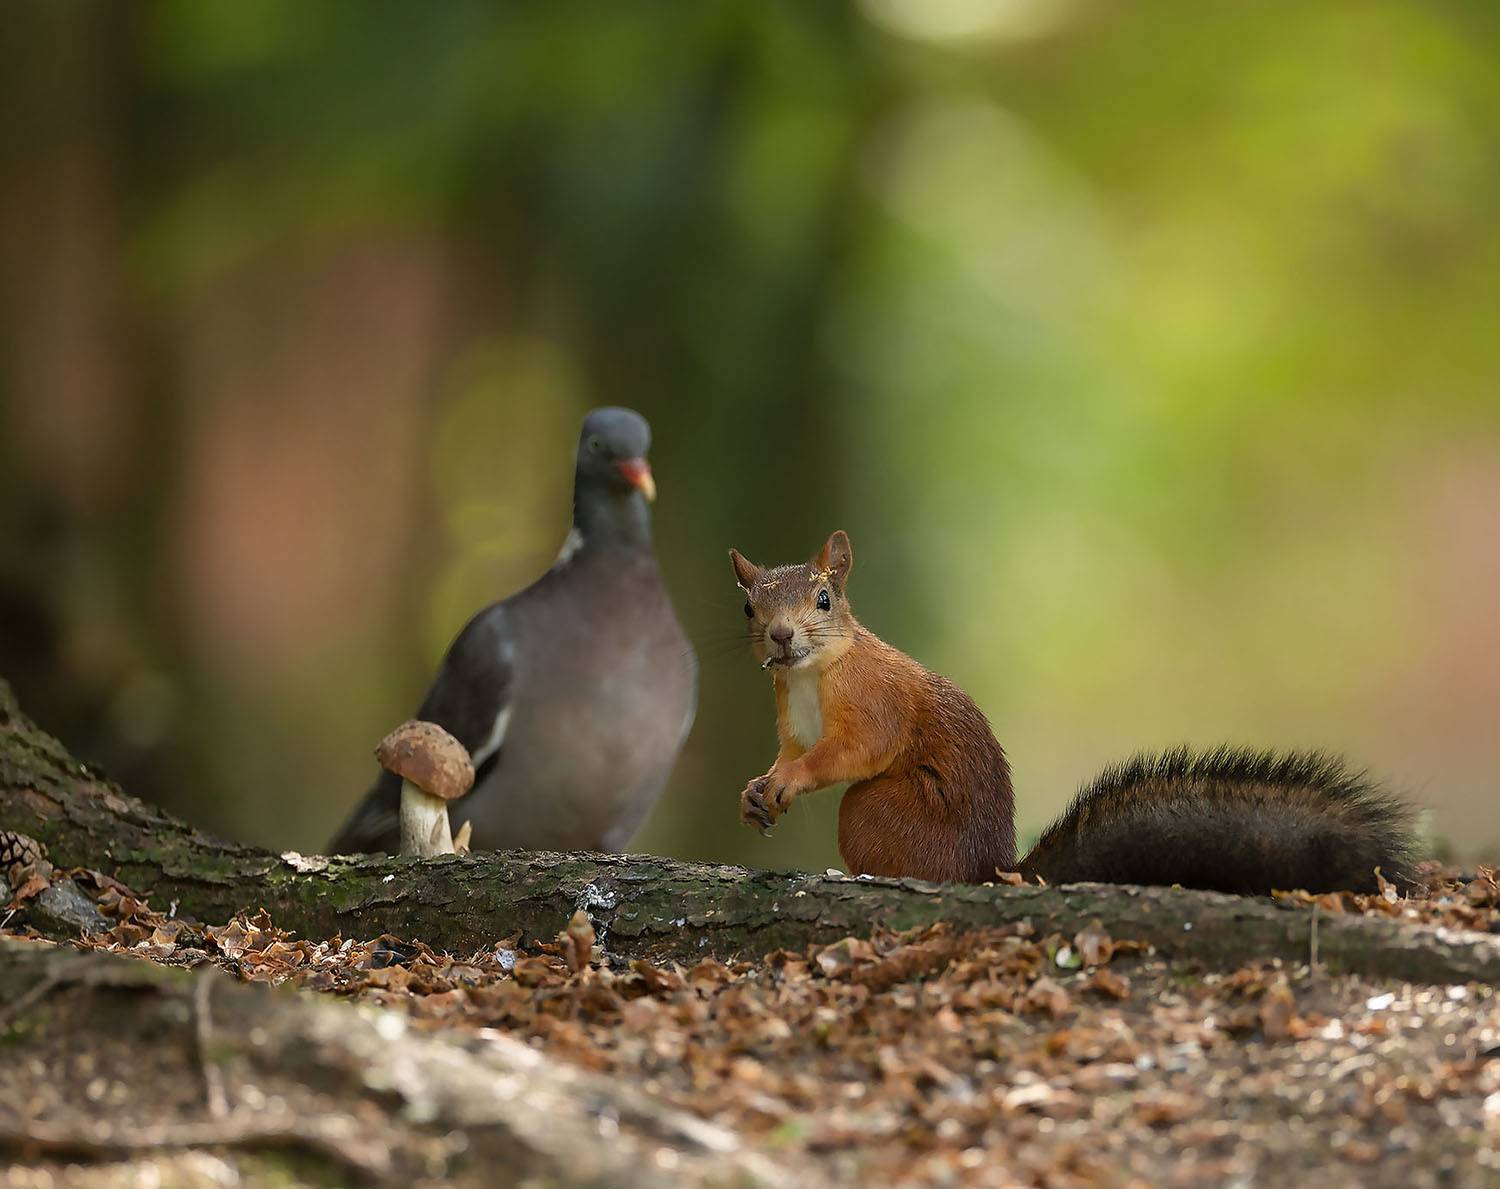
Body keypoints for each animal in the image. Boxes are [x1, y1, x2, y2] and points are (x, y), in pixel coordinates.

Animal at [729, 530, 1415, 894]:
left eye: (824, 599)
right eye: (748, 608)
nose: (781, 638)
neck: (812, 675)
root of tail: (990, 872)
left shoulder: (875, 701)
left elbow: (853, 750)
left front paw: (789, 783)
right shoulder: (792, 716)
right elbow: (791, 752)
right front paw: (758, 789)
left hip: (879, 810)